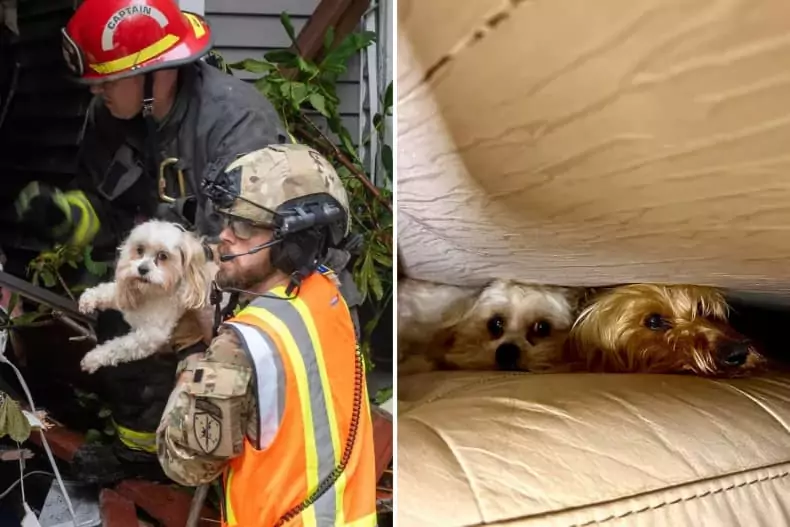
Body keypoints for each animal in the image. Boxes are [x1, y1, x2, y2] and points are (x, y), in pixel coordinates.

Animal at [78, 221, 213, 374]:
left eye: (163, 256)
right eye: (139, 250)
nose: (142, 269)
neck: (150, 294)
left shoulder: (150, 337)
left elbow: (119, 347)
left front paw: (93, 358)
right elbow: (108, 292)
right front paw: (89, 299)